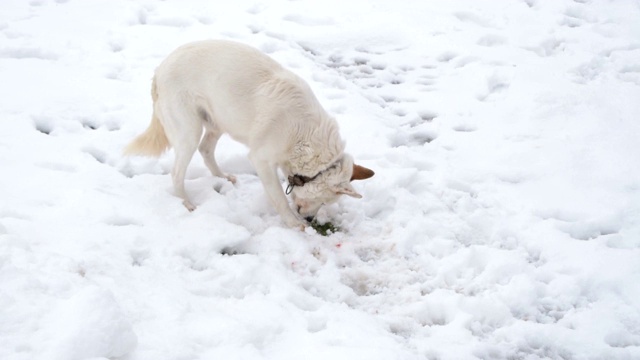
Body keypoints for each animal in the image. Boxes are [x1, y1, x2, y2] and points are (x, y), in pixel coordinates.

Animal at [124, 40, 376, 228]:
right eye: (323, 201)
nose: (310, 219)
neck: (305, 138)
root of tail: (160, 69)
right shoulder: (261, 160)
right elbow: (279, 198)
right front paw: (293, 224)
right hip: (189, 131)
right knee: (177, 172)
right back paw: (185, 203)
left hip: (218, 121)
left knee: (205, 150)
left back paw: (223, 176)